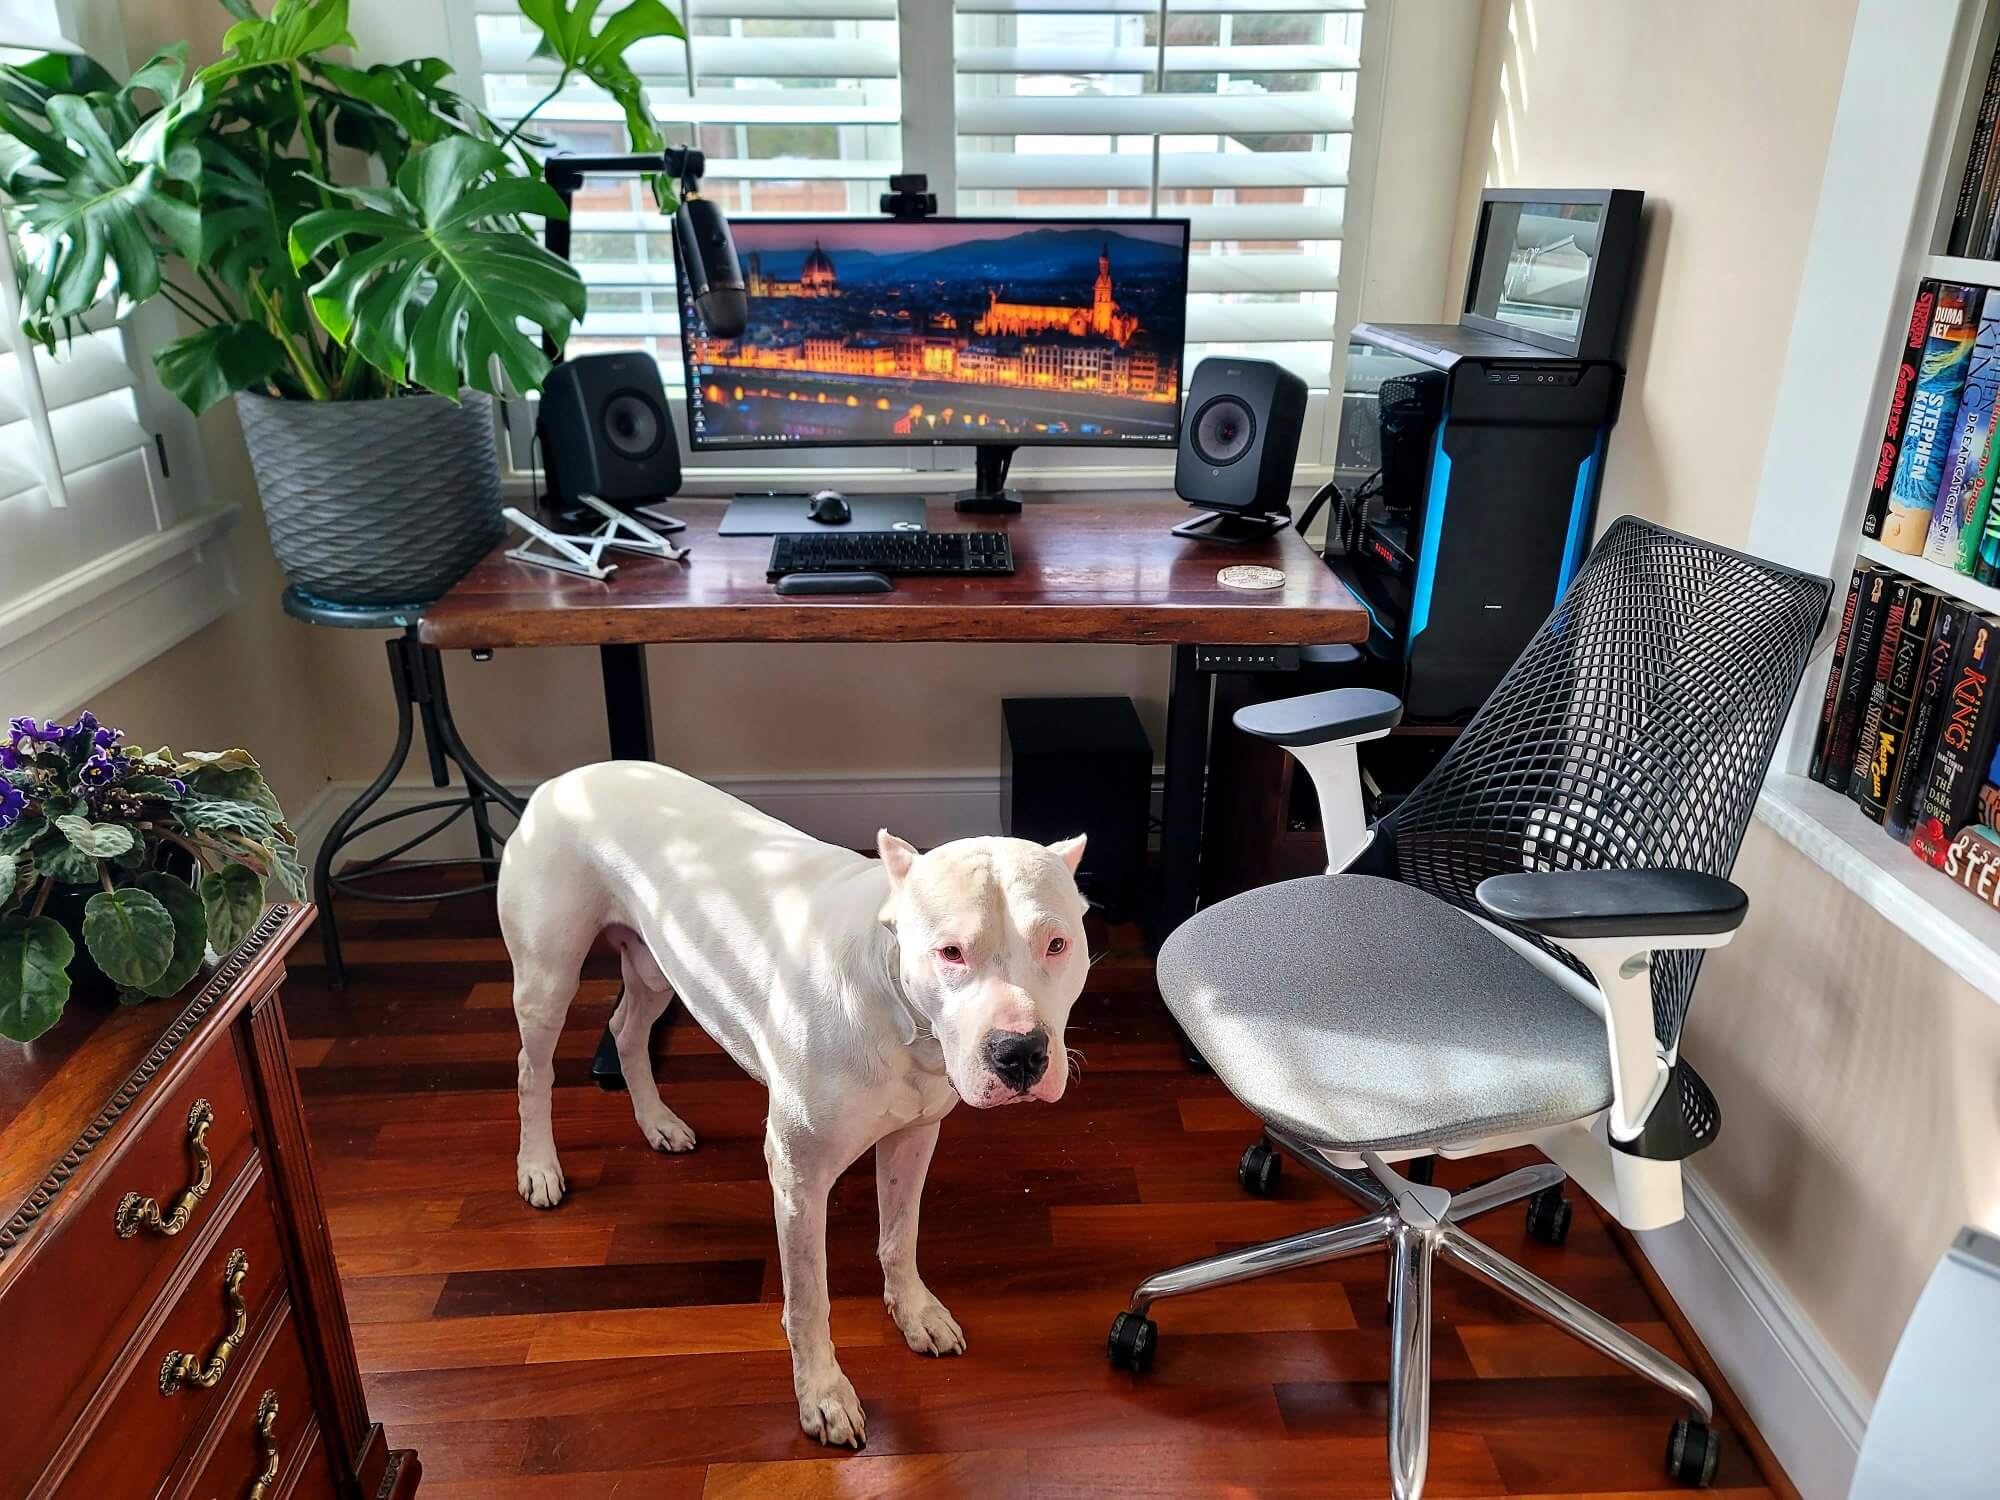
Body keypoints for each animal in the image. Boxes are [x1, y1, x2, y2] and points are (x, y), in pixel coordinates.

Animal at [500, 768, 1096, 1448]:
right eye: (950, 953)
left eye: (1057, 944)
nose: (1020, 1053)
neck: (903, 1019)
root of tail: (565, 779)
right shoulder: (798, 1176)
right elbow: (809, 1297)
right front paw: (823, 1394)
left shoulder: (915, 1136)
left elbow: (900, 1235)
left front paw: (914, 1311)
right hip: (547, 977)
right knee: (533, 1069)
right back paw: (538, 1167)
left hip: (656, 963)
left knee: (627, 1030)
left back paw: (657, 1122)